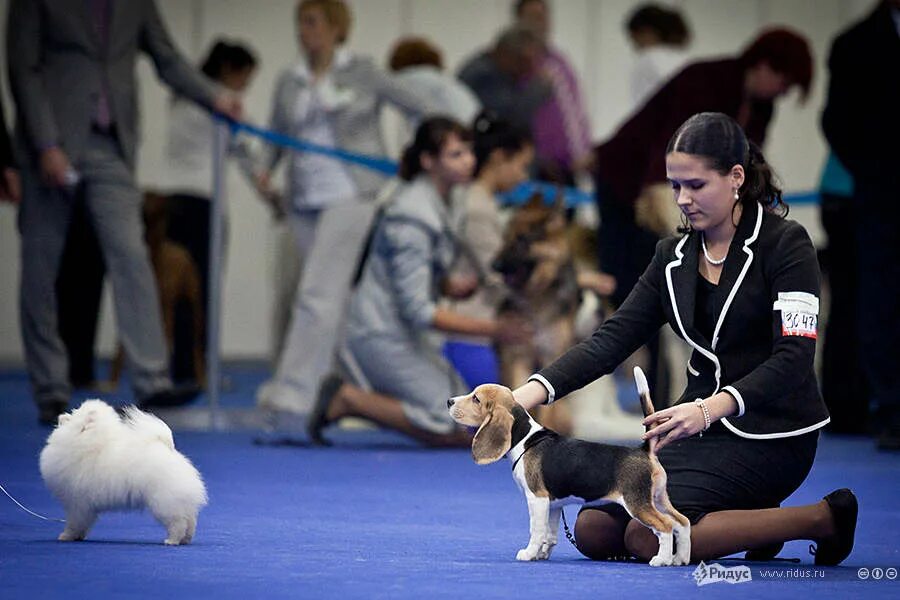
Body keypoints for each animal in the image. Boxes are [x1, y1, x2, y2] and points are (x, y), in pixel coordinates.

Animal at [448, 366, 688, 568]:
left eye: (476, 399)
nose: (449, 401)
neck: (524, 439)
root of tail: (644, 450)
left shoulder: (537, 498)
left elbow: (536, 530)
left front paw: (529, 553)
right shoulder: (553, 505)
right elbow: (550, 534)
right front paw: (542, 554)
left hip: (637, 503)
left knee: (666, 526)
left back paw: (662, 559)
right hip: (658, 498)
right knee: (682, 522)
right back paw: (681, 558)